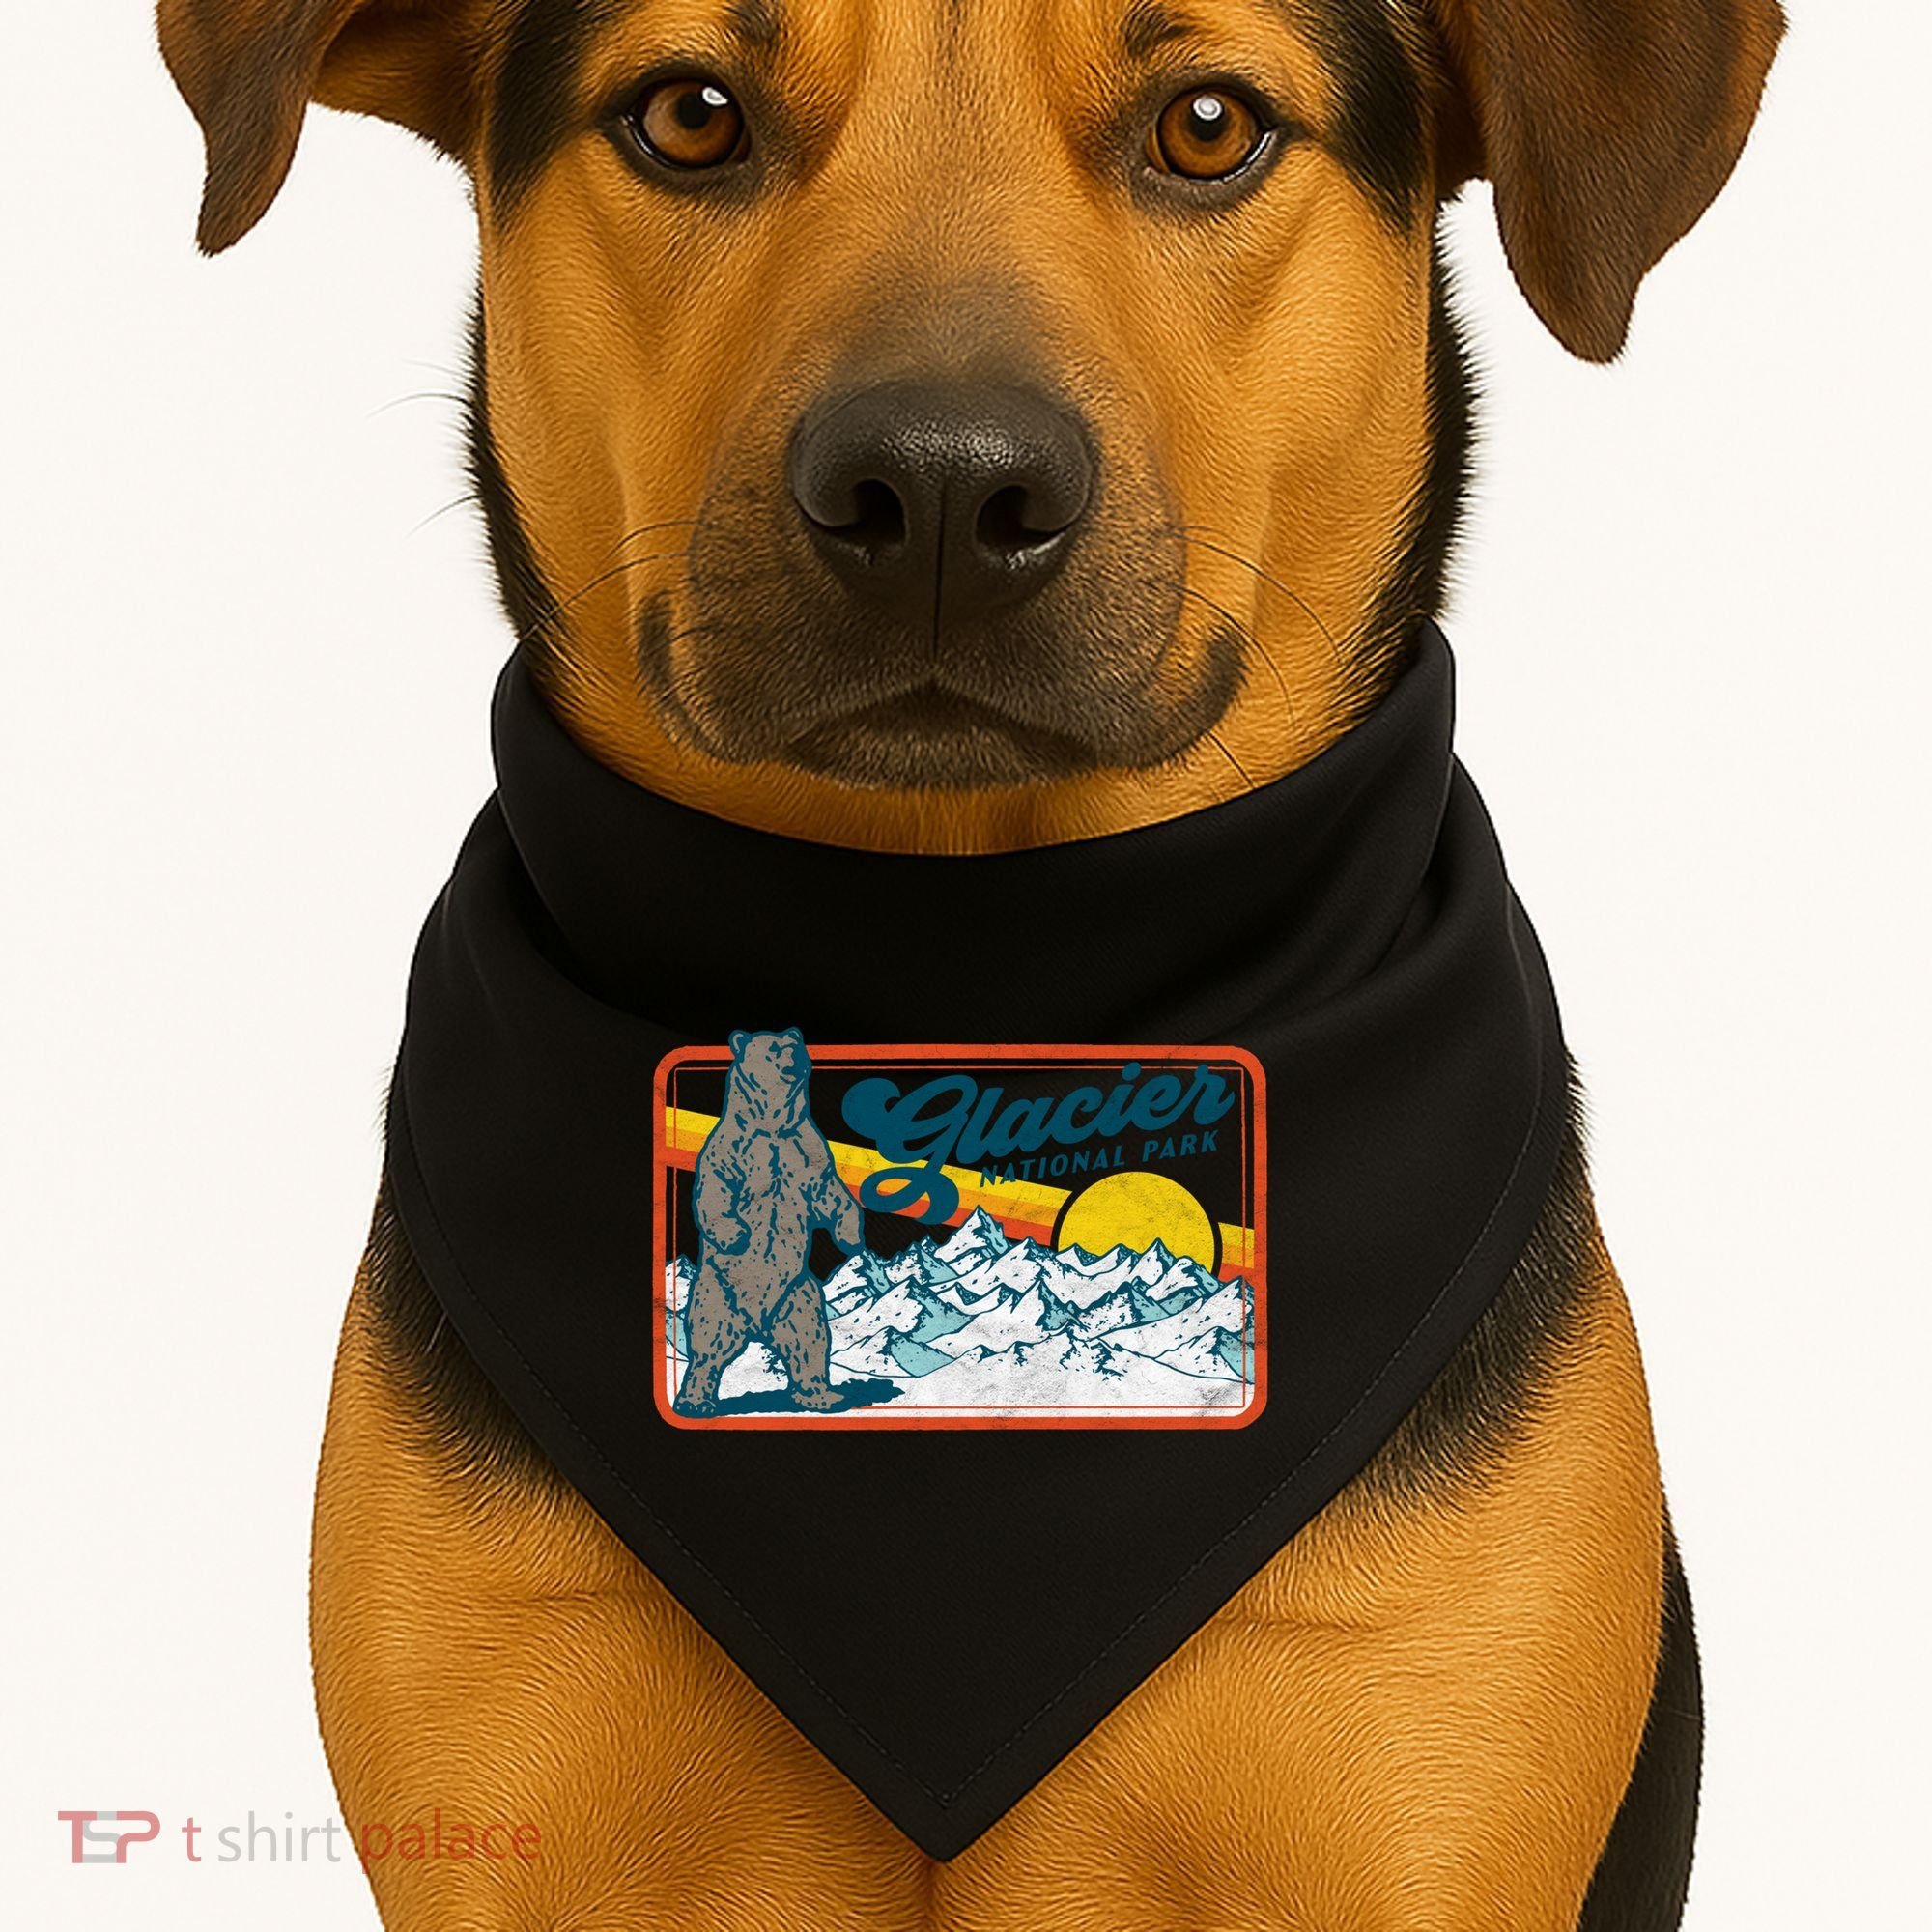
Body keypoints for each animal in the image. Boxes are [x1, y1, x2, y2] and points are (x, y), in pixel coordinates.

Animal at [676, 1028, 865, 1416]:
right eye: (775, 1047)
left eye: (796, 1042)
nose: (798, 1054)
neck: (773, 1126)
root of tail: (756, 1324)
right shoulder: (731, 1148)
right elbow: (716, 1189)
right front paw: (735, 1235)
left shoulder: (806, 1151)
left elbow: (830, 1192)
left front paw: (850, 1234)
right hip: (717, 1292)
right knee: (708, 1342)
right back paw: (695, 1401)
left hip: (798, 1296)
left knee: (809, 1339)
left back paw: (821, 1395)